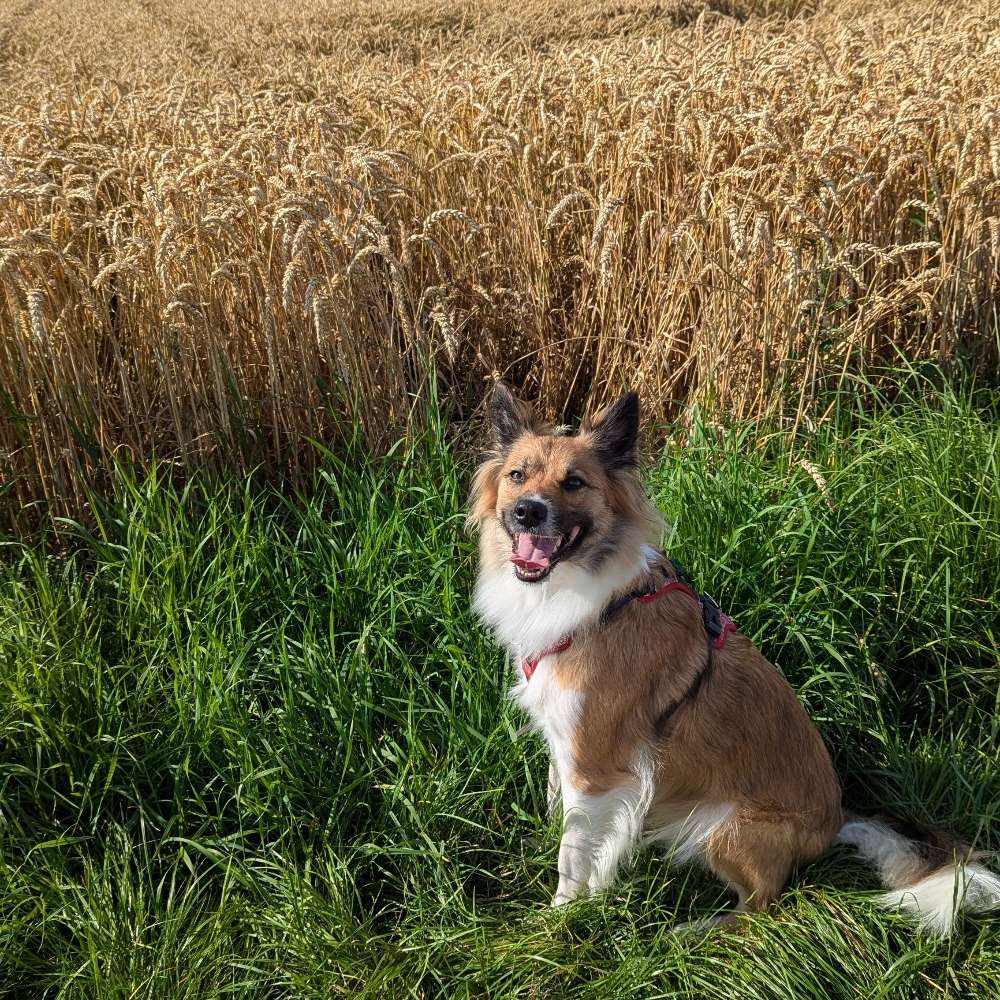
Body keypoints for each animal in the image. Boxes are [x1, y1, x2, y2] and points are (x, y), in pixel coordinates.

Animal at [470, 384, 1000, 936]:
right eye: (517, 476)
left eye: (574, 482)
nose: (528, 512)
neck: (589, 600)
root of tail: (834, 823)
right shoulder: (565, 741)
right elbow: (564, 810)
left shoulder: (597, 761)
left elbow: (574, 853)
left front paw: (559, 918)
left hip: (721, 826)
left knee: (762, 904)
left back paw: (692, 930)